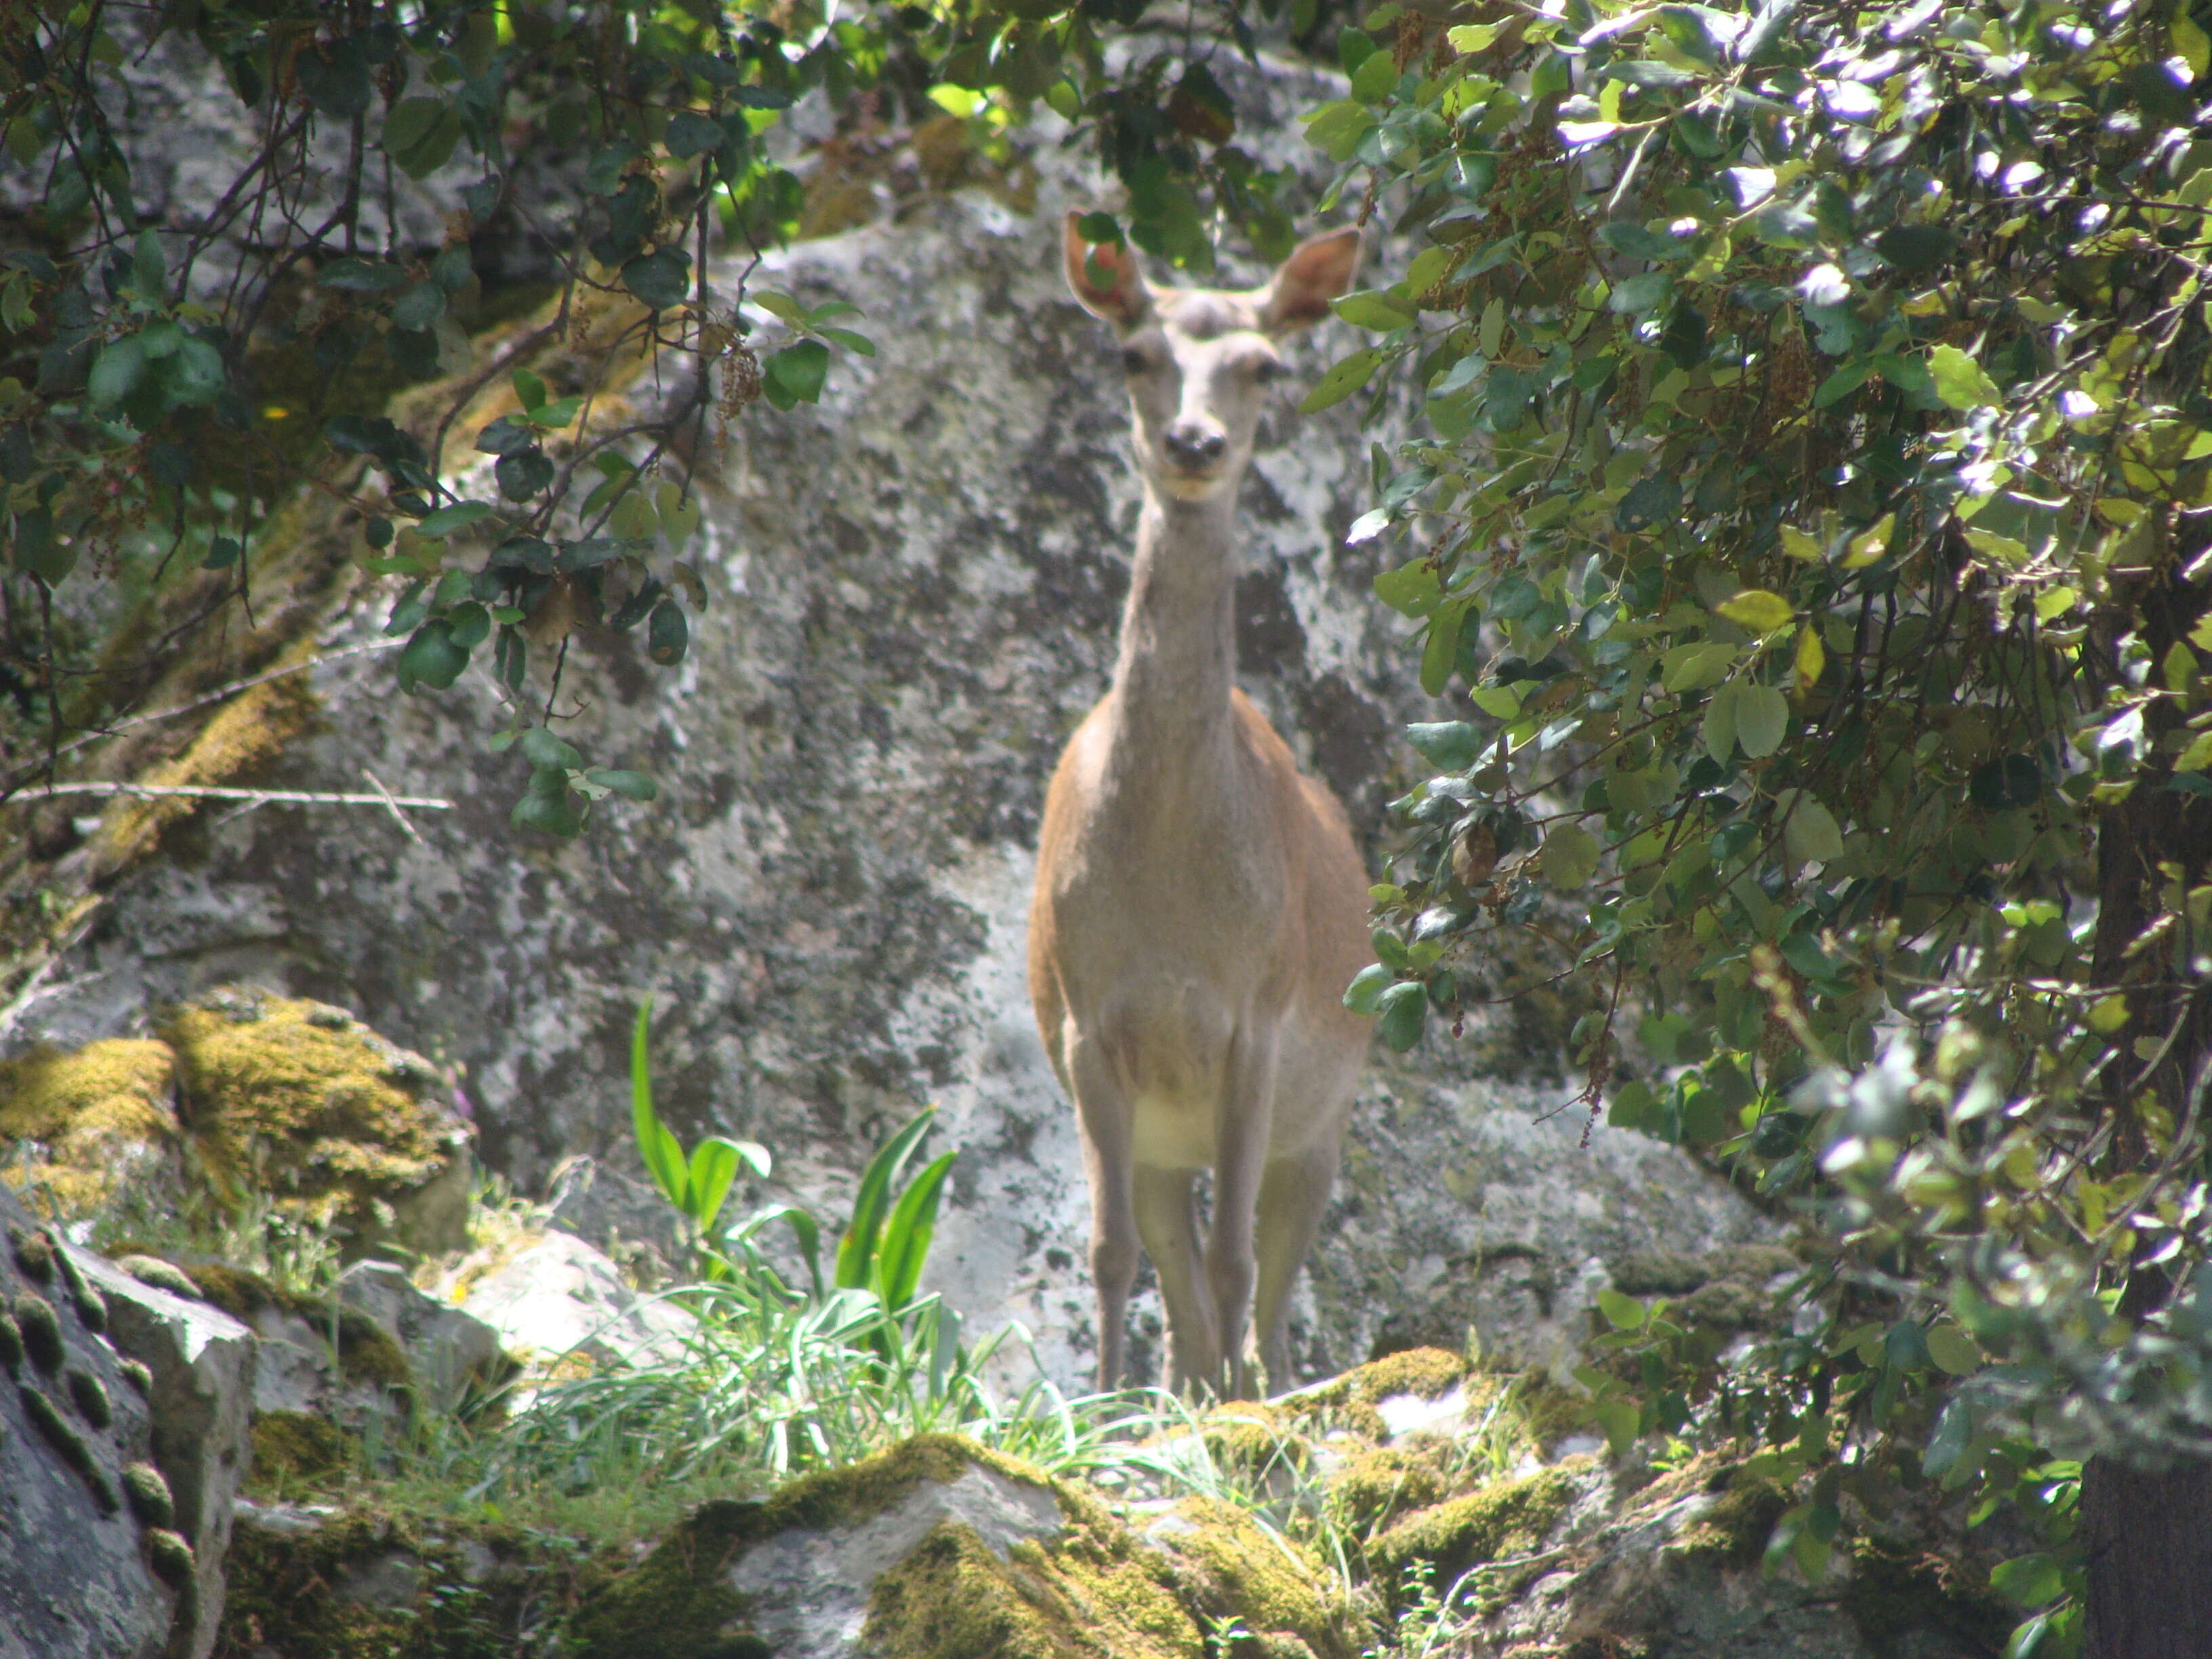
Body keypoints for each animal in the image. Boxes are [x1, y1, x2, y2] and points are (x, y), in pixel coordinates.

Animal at [1026, 218, 1371, 1406]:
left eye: (1263, 366)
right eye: (1134, 352)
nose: (1193, 440)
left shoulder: (1259, 1012)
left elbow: (1236, 1261)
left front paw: (1242, 1420)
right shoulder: (1089, 1019)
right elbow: (1109, 1250)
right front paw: (1095, 1411)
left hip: (1324, 1117)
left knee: (1269, 1281)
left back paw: (1257, 1388)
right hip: (1164, 1137)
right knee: (1178, 1278)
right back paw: (1189, 1388)